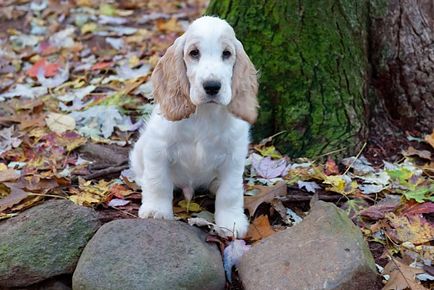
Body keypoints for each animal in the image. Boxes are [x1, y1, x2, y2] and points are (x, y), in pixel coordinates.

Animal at [129, 16, 258, 238]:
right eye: (194, 53)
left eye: (226, 53)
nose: (212, 86)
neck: (204, 114)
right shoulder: (157, 149)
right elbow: (157, 181)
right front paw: (156, 211)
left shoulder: (234, 157)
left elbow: (230, 192)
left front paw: (231, 223)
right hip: (139, 149)